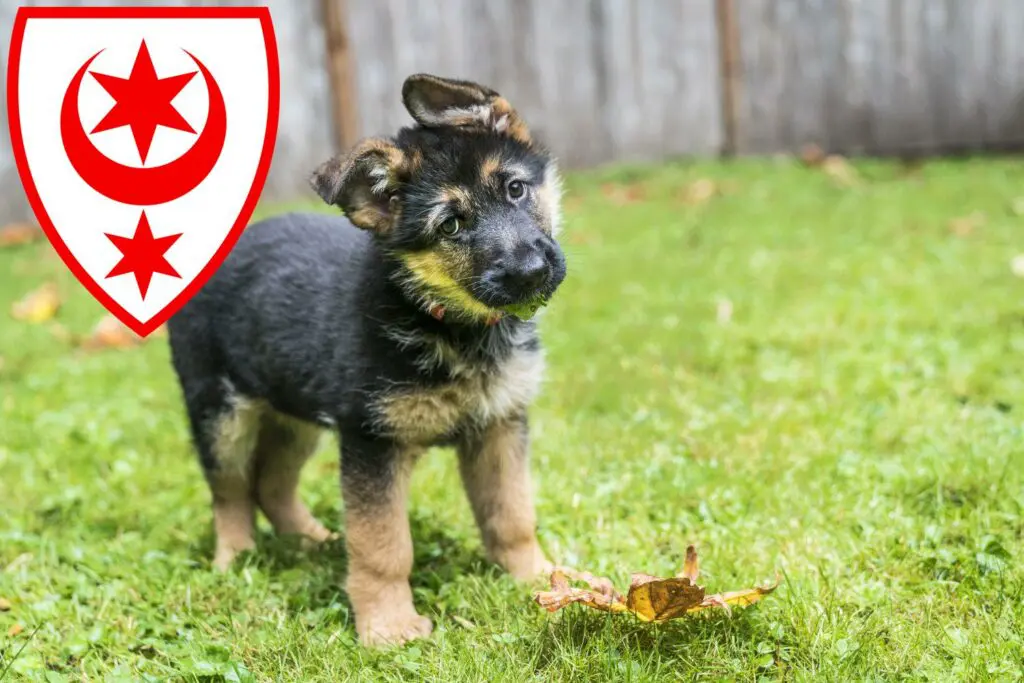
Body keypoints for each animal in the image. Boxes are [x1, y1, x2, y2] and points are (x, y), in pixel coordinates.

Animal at [167, 73, 569, 647]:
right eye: (450, 226)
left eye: (515, 189)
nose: (531, 273)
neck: (446, 320)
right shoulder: (371, 441)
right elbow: (383, 546)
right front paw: (389, 625)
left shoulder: (499, 425)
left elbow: (512, 516)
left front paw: (539, 580)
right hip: (221, 413)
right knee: (231, 491)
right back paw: (236, 562)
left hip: (292, 412)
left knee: (270, 482)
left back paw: (311, 541)